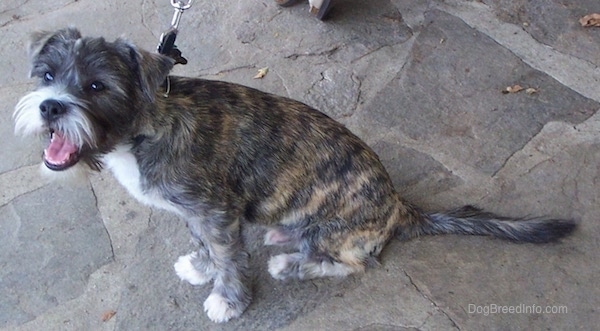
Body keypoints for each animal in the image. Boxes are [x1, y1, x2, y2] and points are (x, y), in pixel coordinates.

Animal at [15, 27, 576, 322]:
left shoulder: (216, 212)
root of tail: (400, 208)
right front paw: (200, 266)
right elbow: (206, 245)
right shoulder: (200, 214)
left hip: (336, 231)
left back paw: (291, 263)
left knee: (352, 264)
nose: (49, 107)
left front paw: (227, 300)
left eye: (96, 86)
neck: (149, 123)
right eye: (47, 75)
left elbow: (229, 257)